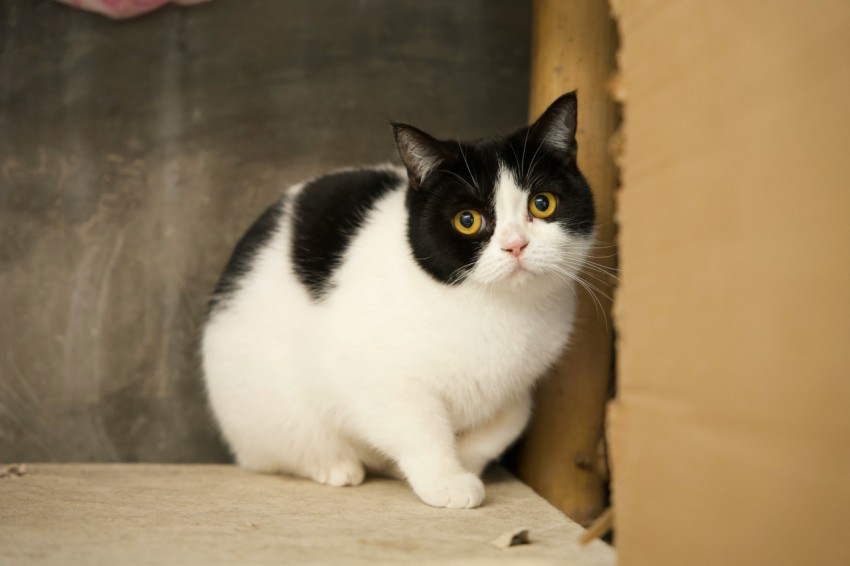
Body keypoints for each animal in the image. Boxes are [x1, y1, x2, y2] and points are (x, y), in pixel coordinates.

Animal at [201, 93, 592, 510]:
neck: (496, 309)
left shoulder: (517, 389)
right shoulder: (381, 380)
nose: (515, 245)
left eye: (542, 203)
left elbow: (505, 426)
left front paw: (461, 464)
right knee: (280, 450)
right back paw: (334, 465)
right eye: (467, 220)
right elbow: (422, 430)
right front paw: (446, 480)